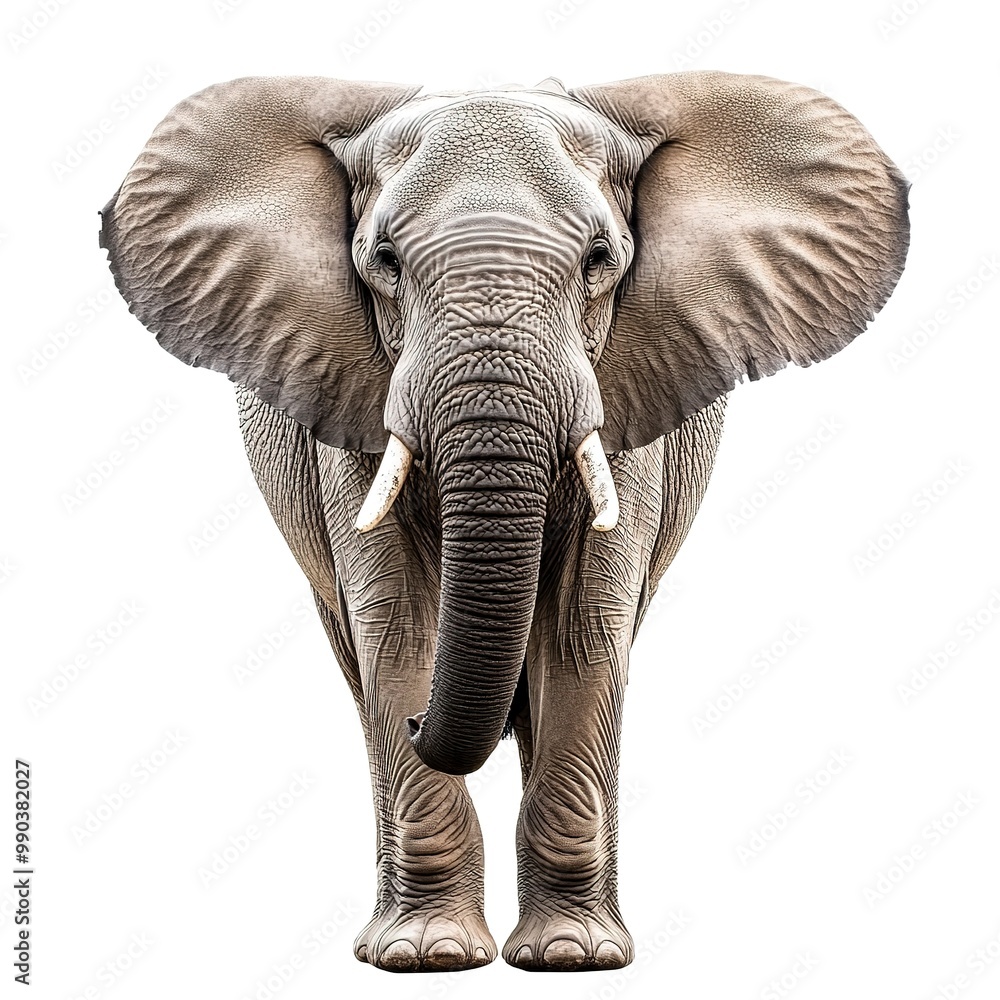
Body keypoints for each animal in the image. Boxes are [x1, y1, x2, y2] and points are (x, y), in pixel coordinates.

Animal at [99, 70, 909, 973]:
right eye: (384, 262)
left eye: (600, 261)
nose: (421, 720)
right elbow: (399, 624)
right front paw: (426, 956)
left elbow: (584, 627)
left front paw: (572, 957)